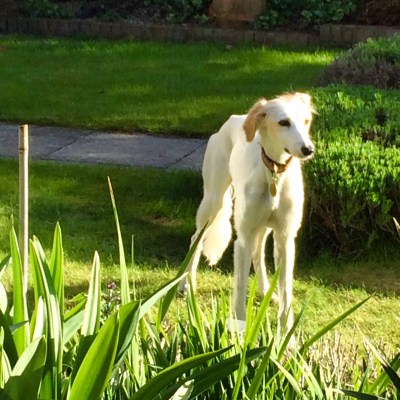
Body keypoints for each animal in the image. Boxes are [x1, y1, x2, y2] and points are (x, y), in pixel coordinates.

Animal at [180, 92, 316, 336]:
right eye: (283, 122)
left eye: (306, 121)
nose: (308, 149)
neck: (274, 174)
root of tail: (234, 118)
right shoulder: (242, 238)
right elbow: (240, 292)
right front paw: (240, 334)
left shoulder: (285, 237)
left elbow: (286, 296)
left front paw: (286, 339)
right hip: (213, 201)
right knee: (196, 238)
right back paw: (186, 284)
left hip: (262, 225)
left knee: (258, 250)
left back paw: (265, 290)